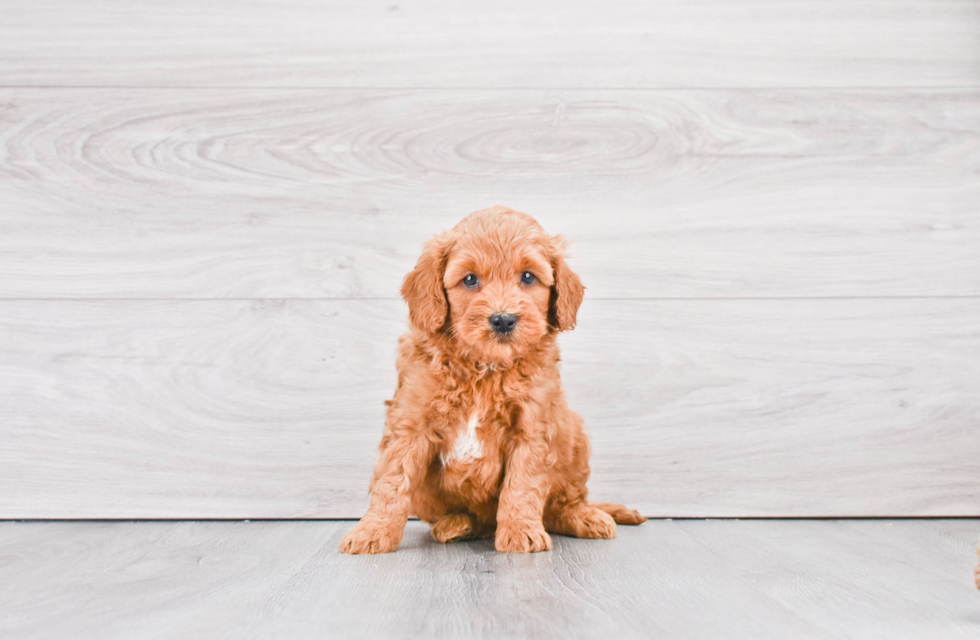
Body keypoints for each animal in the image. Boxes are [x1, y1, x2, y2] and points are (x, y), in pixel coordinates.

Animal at [340, 206, 648, 556]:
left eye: (528, 277)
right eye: (470, 279)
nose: (503, 319)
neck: (485, 368)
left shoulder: (532, 428)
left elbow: (522, 484)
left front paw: (521, 531)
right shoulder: (410, 423)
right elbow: (392, 480)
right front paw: (372, 531)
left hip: (575, 435)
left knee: (559, 506)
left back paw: (584, 516)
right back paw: (457, 525)